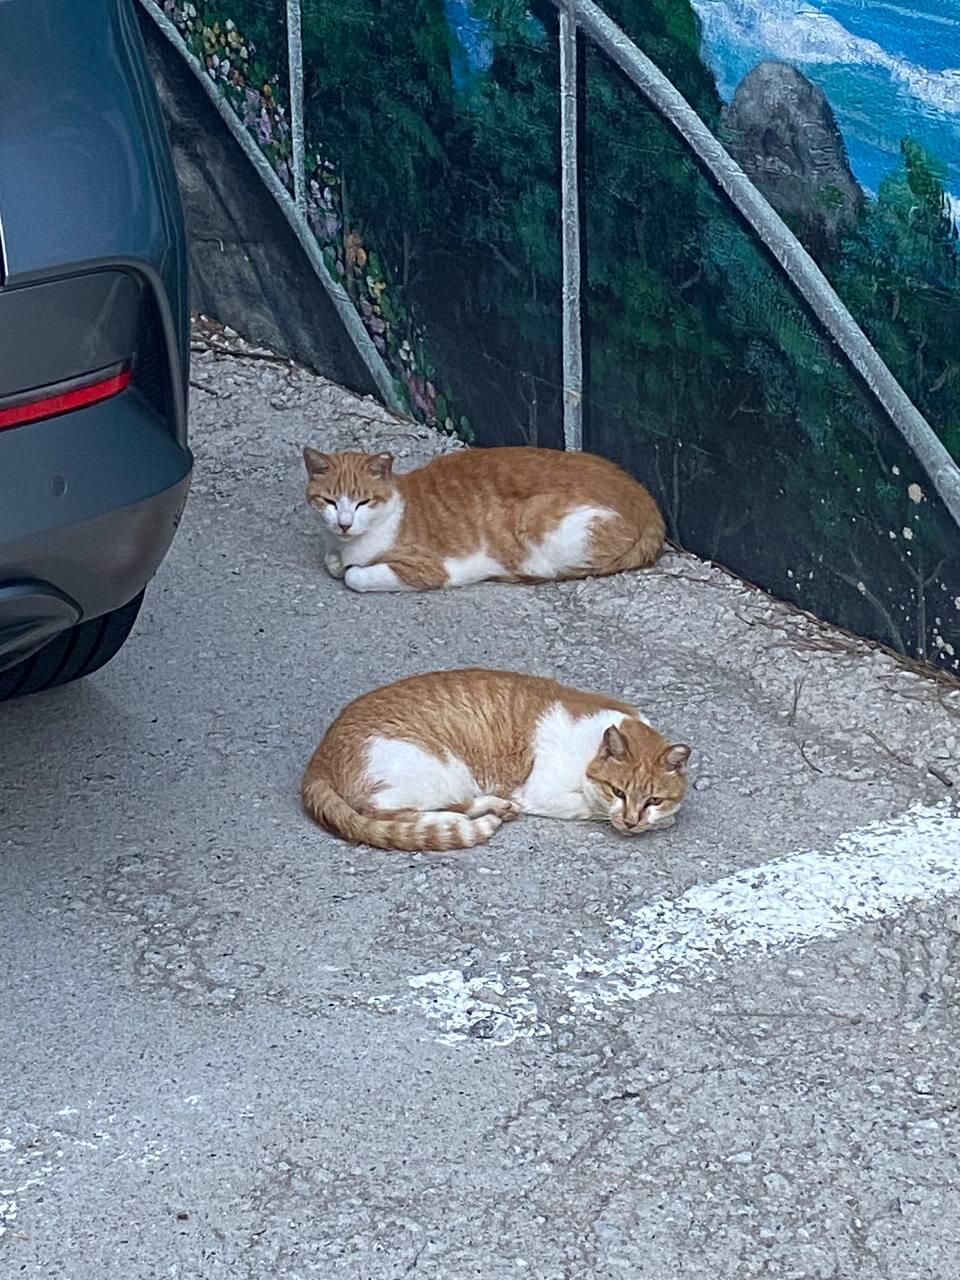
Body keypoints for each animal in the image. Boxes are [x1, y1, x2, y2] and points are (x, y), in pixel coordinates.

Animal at [301, 445, 665, 592]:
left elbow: (353, 575)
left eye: (363, 502)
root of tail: (648, 505)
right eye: (330, 501)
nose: (344, 523)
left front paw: (350, 569)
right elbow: (332, 562)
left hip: (536, 523)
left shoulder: (429, 568)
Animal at [302, 668, 691, 852]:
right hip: (438, 768)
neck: (589, 745)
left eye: (653, 799)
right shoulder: (541, 793)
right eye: (617, 792)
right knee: (387, 813)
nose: (631, 822)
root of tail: (318, 760)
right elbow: (589, 809)